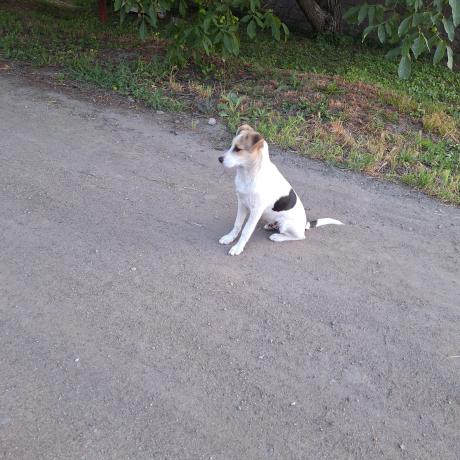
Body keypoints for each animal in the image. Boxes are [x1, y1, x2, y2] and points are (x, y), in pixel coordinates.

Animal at [217, 124, 344, 255]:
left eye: (238, 149)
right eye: (231, 146)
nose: (219, 159)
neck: (249, 174)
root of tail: (304, 225)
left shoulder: (256, 211)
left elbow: (246, 231)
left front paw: (238, 247)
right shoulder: (242, 203)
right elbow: (237, 224)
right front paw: (229, 237)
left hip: (286, 224)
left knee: (300, 237)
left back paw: (278, 237)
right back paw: (271, 225)